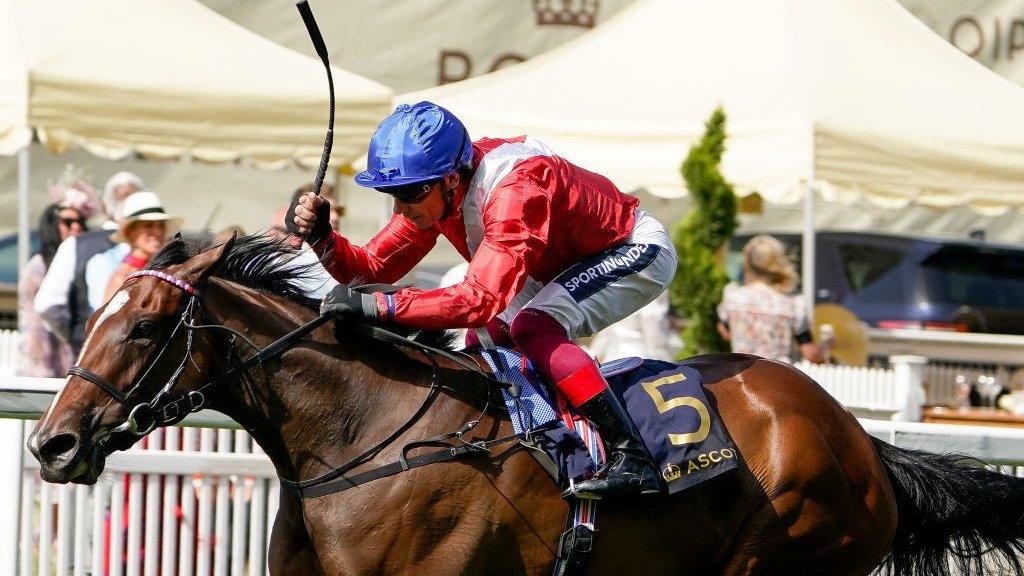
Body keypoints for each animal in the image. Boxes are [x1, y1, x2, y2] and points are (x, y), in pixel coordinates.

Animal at [25, 233, 1024, 573]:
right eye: (94, 316)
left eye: (146, 328)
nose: (51, 444)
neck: (363, 435)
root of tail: (862, 440)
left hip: (782, 555)